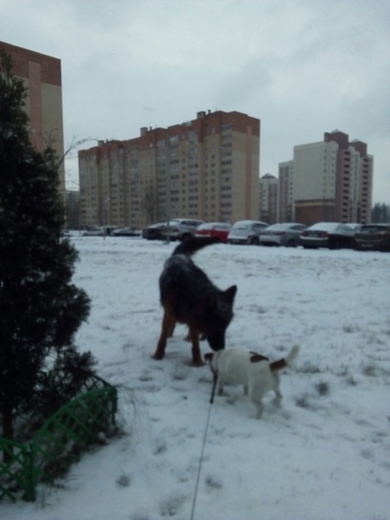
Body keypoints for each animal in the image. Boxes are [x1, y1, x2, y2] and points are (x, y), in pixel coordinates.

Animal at [152, 237, 238, 366]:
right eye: (215, 326)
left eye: (225, 326)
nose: (221, 348)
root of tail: (179, 255)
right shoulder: (169, 314)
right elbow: (162, 339)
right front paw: (158, 355)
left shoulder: (193, 320)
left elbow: (196, 345)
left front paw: (198, 362)